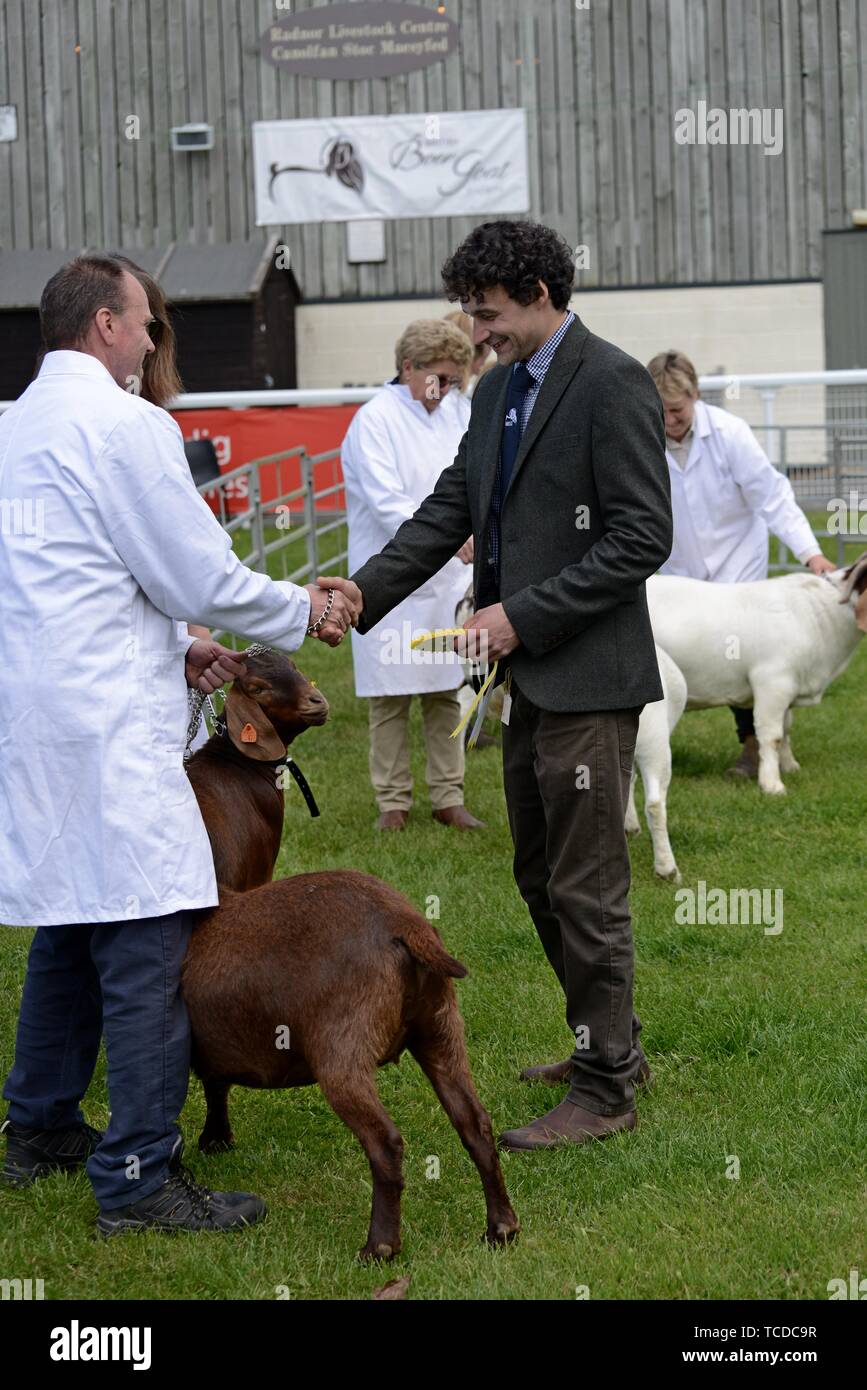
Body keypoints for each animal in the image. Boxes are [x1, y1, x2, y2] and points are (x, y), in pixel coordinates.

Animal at [180, 647, 514, 1262]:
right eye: (259, 685)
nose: (318, 701)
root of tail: (407, 927)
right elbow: (213, 1074)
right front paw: (216, 1139)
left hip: (342, 1049)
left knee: (386, 1143)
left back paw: (379, 1247)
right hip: (440, 1027)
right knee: (475, 1122)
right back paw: (500, 1227)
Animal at [644, 550, 867, 800]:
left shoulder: (788, 689)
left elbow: (786, 728)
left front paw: (789, 766)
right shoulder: (773, 683)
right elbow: (772, 735)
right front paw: (772, 784)